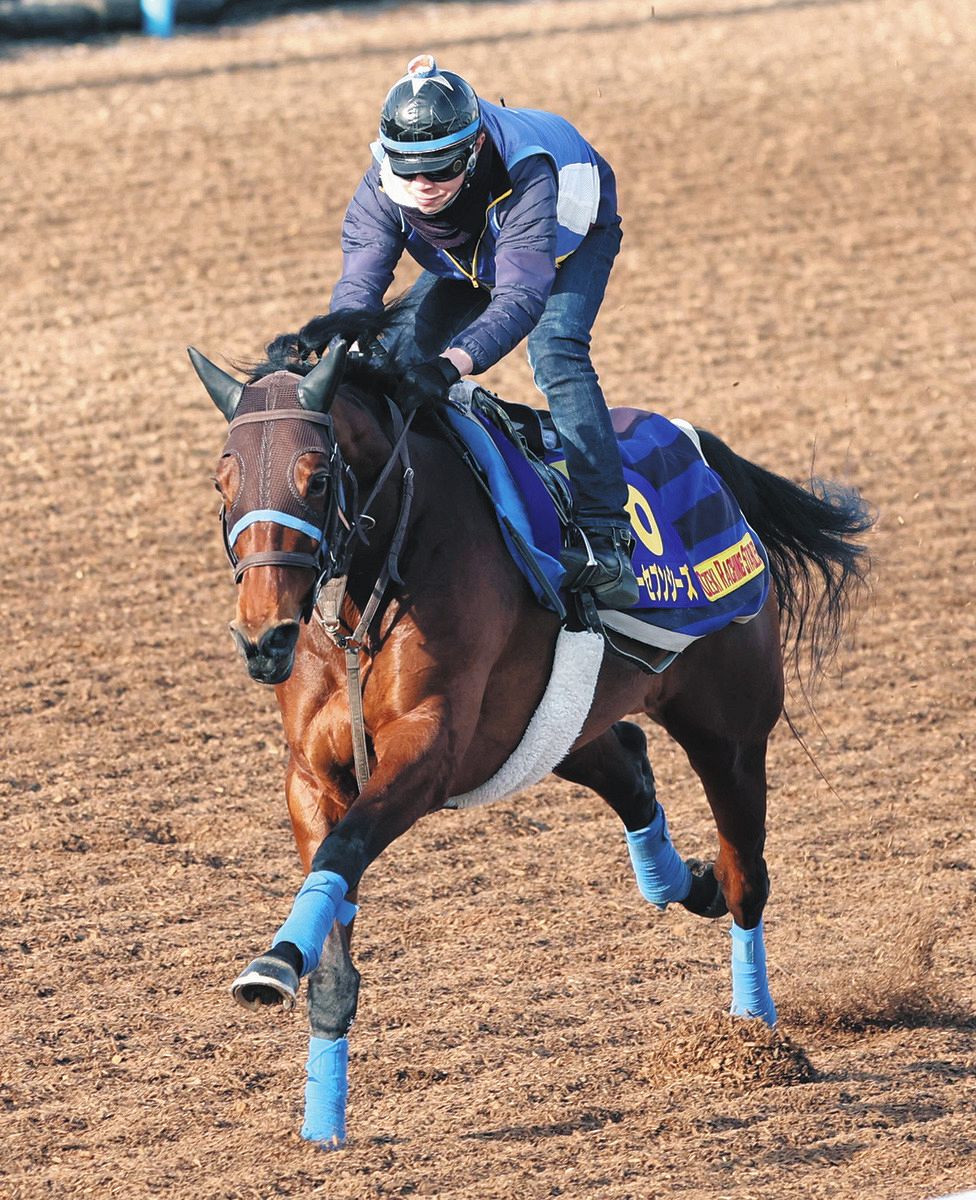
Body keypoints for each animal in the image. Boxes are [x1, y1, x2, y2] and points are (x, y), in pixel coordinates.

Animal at [188, 308, 872, 1146]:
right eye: (222, 481)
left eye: (316, 477)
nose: (264, 638)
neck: (375, 583)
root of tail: (704, 453)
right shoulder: (314, 773)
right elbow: (334, 899)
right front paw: (321, 1108)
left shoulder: (429, 752)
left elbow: (347, 850)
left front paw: (273, 963)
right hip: (549, 730)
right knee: (629, 768)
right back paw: (684, 884)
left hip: (729, 734)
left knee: (748, 876)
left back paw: (754, 1034)